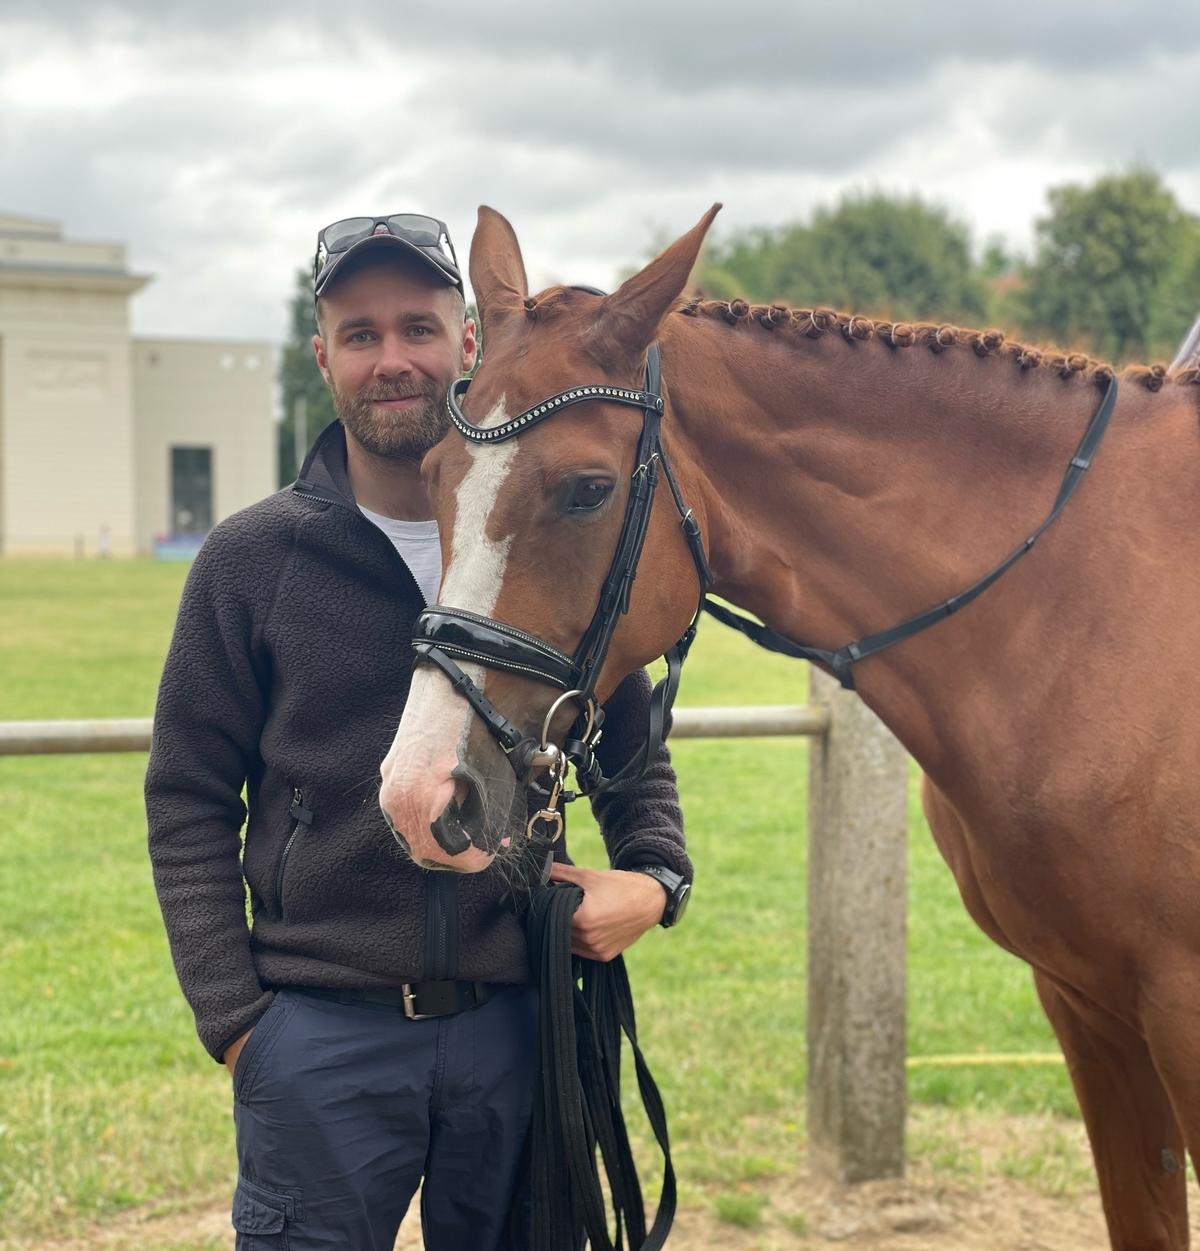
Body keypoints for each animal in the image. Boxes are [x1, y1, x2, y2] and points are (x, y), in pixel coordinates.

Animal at [381, 204, 1200, 1251]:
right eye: (435, 473)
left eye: (588, 488)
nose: (419, 795)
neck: (1085, 607)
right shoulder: (1090, 1007)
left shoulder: (1178, 1016)